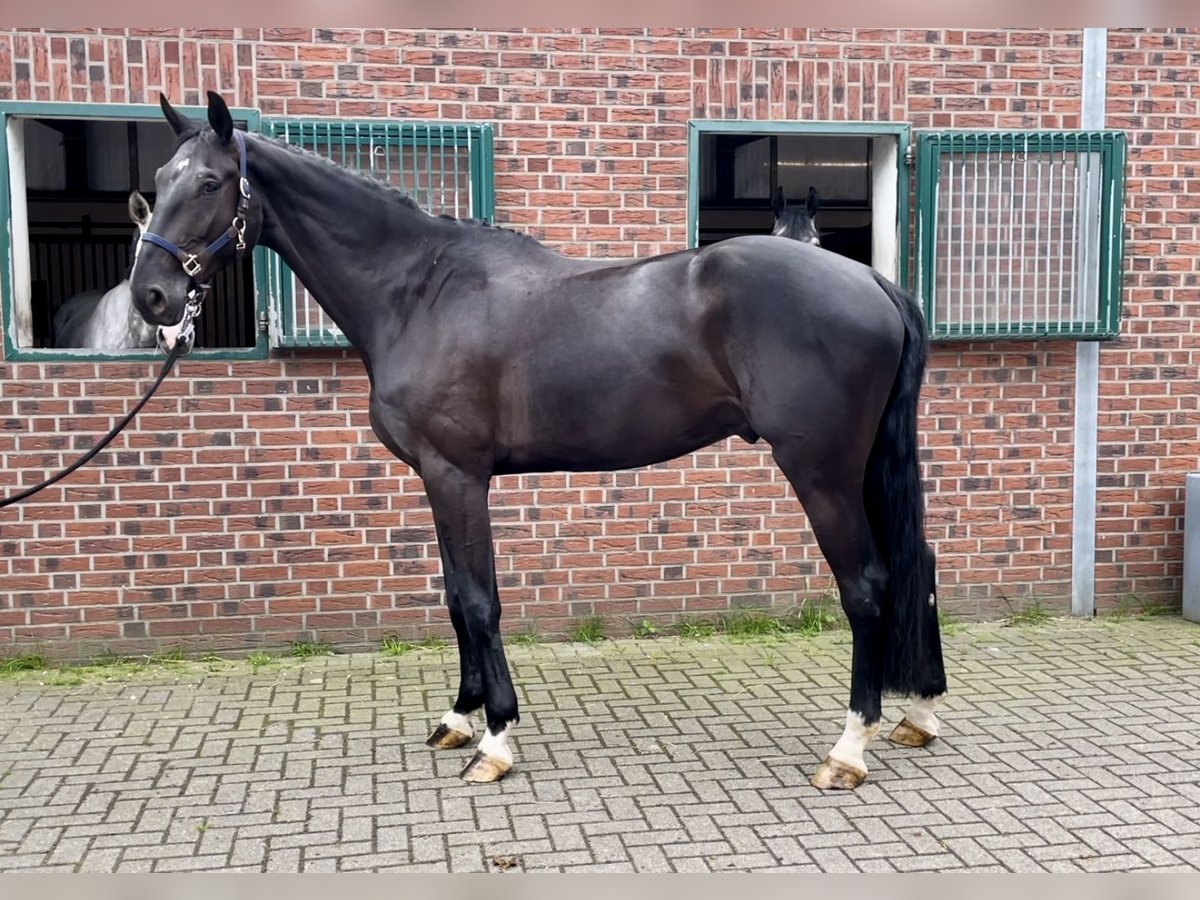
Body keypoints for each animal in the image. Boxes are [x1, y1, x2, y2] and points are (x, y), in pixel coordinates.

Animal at [126, 95, 940, 792]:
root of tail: (873, 282)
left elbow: (479, 599)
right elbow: (455, 595)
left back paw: (848, 750)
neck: (419, 292)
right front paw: (457, 718)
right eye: (157, 183)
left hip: (821, 470)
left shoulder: (456, 474)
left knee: (869, 584)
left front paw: (494, 741)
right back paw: (919, 714)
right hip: (863, 466)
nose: (151, 297)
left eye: (208, 182)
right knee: (915, 565)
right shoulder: (437, 478)